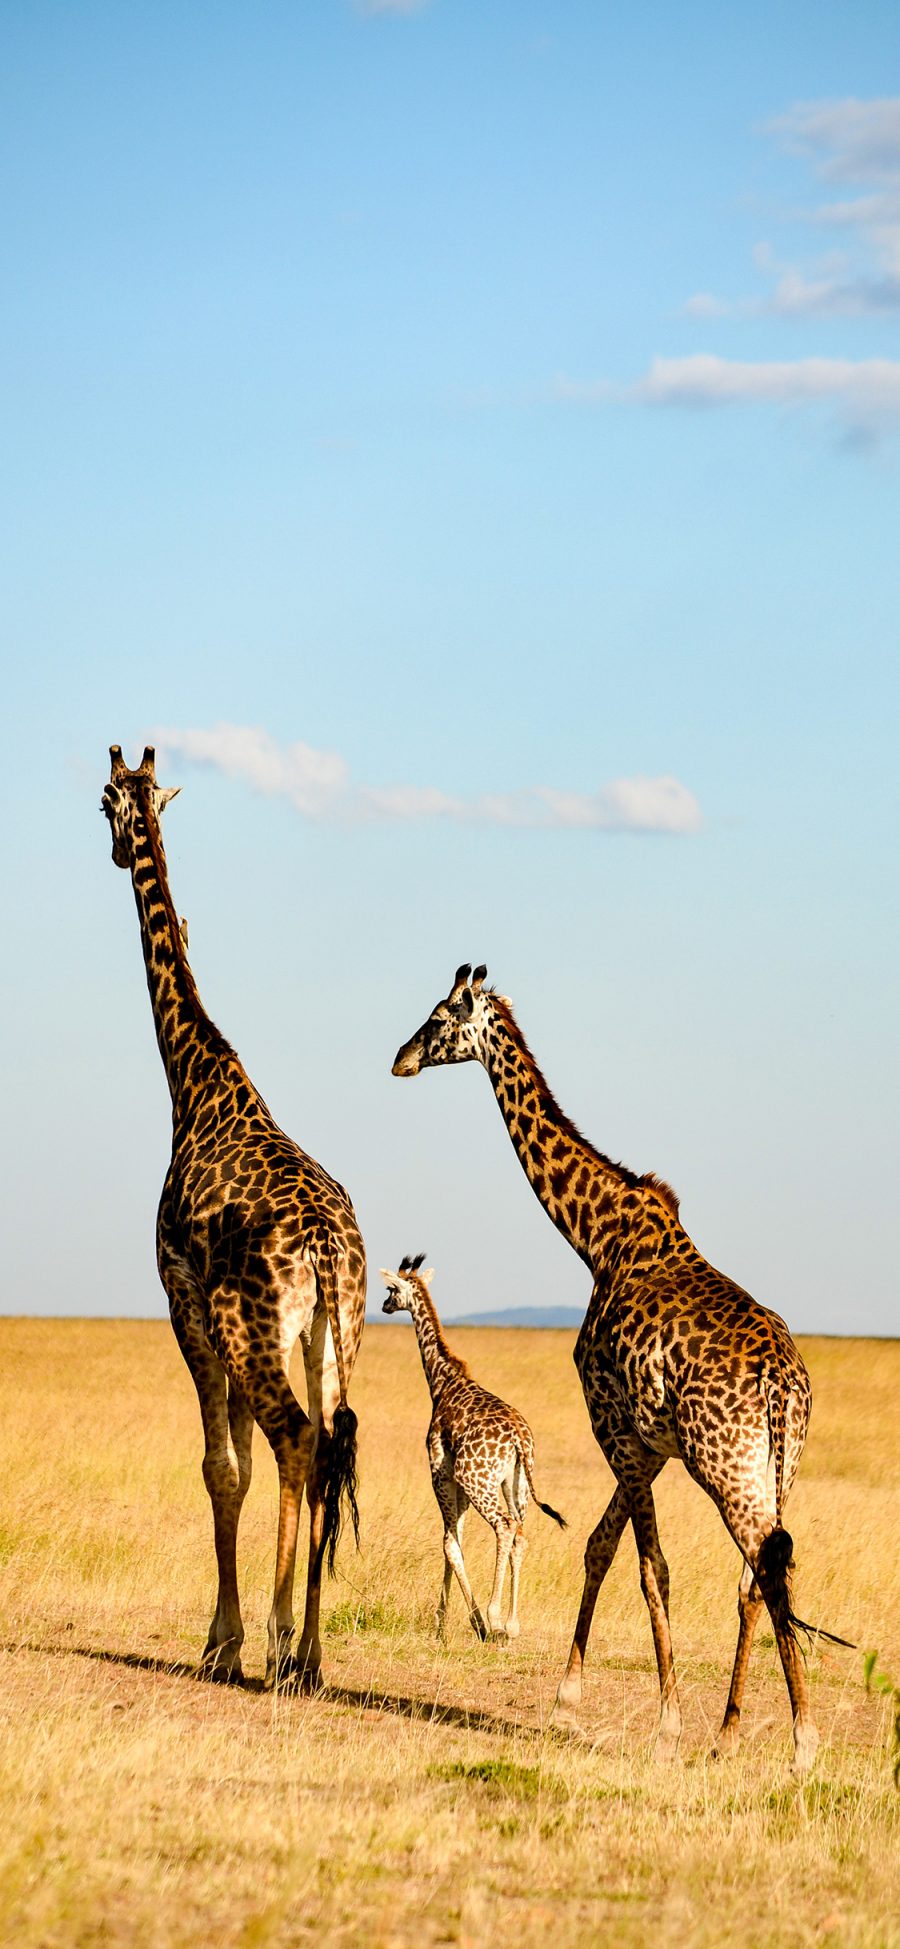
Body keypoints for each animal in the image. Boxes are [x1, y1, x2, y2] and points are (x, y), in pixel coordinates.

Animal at [100, 744, 364, 1691]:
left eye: (102, 802)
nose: (116, 849)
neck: (194, 1080)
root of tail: (326, 1250)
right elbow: (242, 1465)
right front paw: (237, 1634)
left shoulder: (184, 1300)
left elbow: (223, 1466)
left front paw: (224, 1640)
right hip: (332, 1336)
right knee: (329, 1445)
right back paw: (312, 1651)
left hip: (249, 1328)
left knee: (298, 1440)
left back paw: (284, 1642)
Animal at [381, 1247, 564, 1644]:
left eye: (390, 1289)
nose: (384, 1306)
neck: (443, 1381)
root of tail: (519, 1439)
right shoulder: (458, 1483)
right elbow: (457, 1540)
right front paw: (444, 1621)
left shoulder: (441, 1471)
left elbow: (449, 1544)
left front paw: (468, 1621)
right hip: (516, 1485)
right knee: (520, 1535)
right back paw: (512, 1624)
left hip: (478, 1481)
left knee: (505, 1527)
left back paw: (494, 1619)